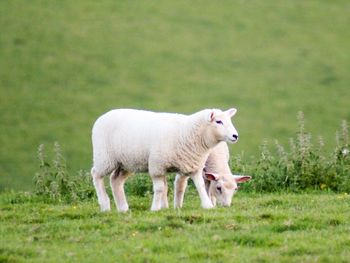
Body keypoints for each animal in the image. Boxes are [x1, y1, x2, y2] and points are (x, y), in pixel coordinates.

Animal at [90, 107, 239, 212]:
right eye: (218, 121)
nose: (235, 136)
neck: (187, 132)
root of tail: (104, 116)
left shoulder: (194, 166)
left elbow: (200, 185)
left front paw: (207, 205)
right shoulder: (157, 166)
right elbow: (160, 189)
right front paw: (156, 208)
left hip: (126, 162)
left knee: (115, 180)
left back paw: (123, 208)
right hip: (104, 157)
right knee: (96, 175)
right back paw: (105, 205)